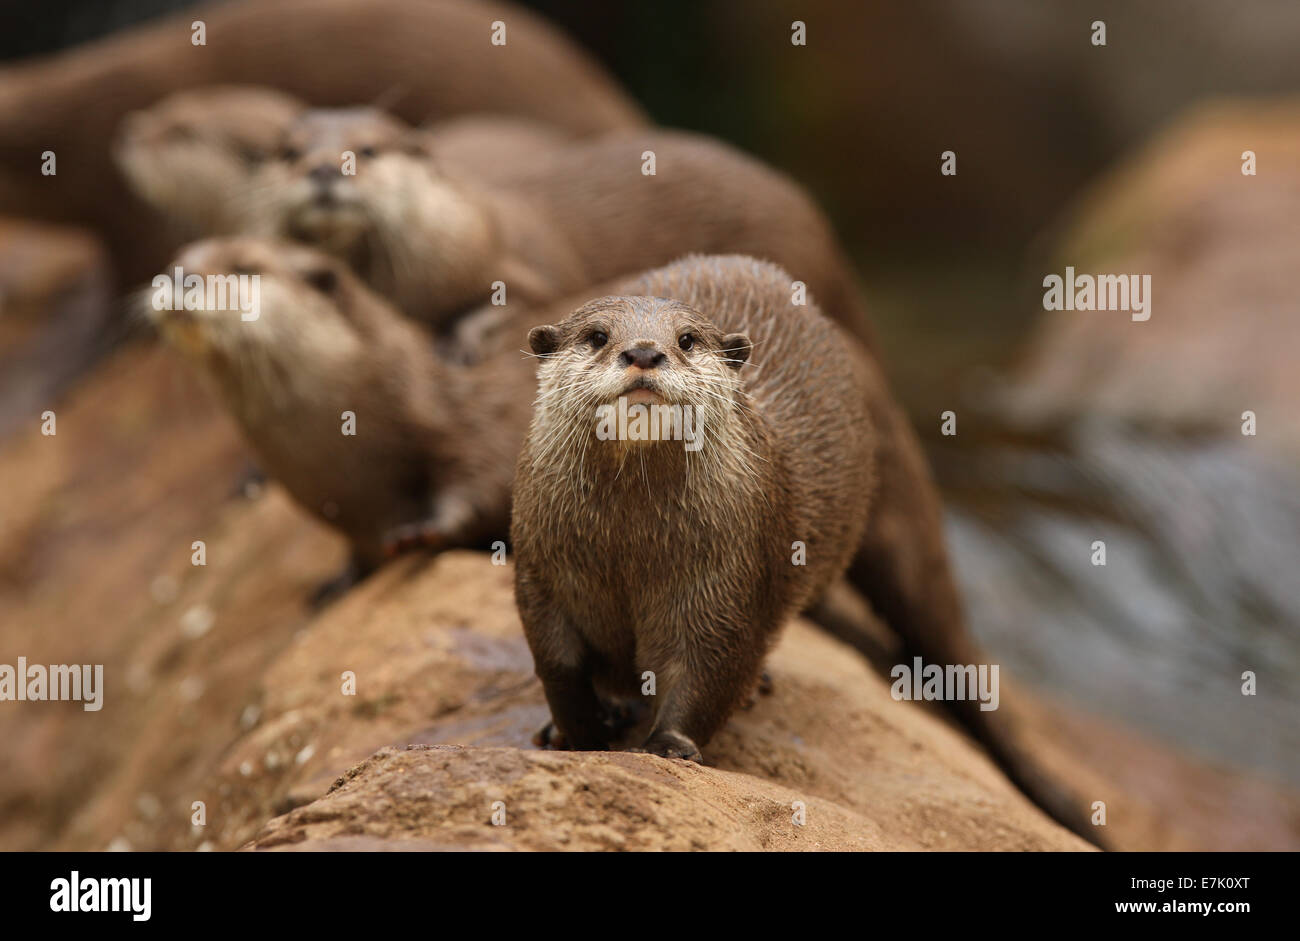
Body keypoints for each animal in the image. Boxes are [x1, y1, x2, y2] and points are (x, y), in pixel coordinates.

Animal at [512, 252, 1102, 847]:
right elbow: (556, 662)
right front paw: (577, 733)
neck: (630, 552)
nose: (643, 352)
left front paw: (670, 746)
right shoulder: (541, 571)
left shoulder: (732, 574)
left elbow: (712, 662)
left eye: (686, 340)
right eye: (596, 336)